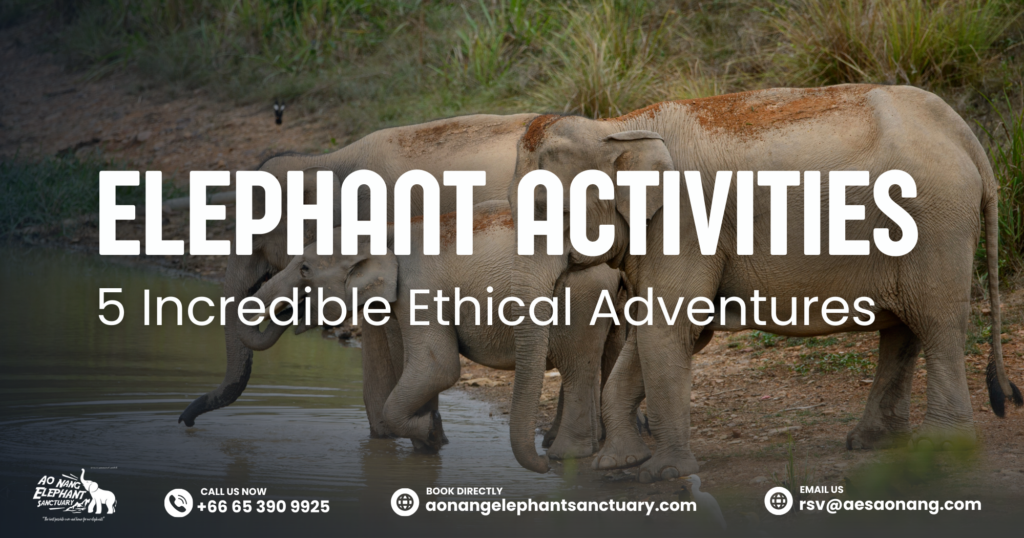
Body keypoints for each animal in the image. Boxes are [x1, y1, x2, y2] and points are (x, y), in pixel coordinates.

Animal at [247, 201, 625, 461]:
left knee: (576, 367)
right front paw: (429, 443)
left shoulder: (419, 286)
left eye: (305, 269)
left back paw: (563, 456)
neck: (386, 228)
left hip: (581, 296)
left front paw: (428, 434)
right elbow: (419, 367)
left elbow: (436, 367)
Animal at [504, 84, 1021, 481]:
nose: (547, 465)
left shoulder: (685, 223)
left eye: (551, 211)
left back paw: (943, 449)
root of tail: (965, 136)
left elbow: (669, 329)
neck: (618, 125)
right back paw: (872, 443)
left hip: (937, 221)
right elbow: (664, 331)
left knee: (937, 325)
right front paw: (617, 465)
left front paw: (662, 473)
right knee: (903, 330)